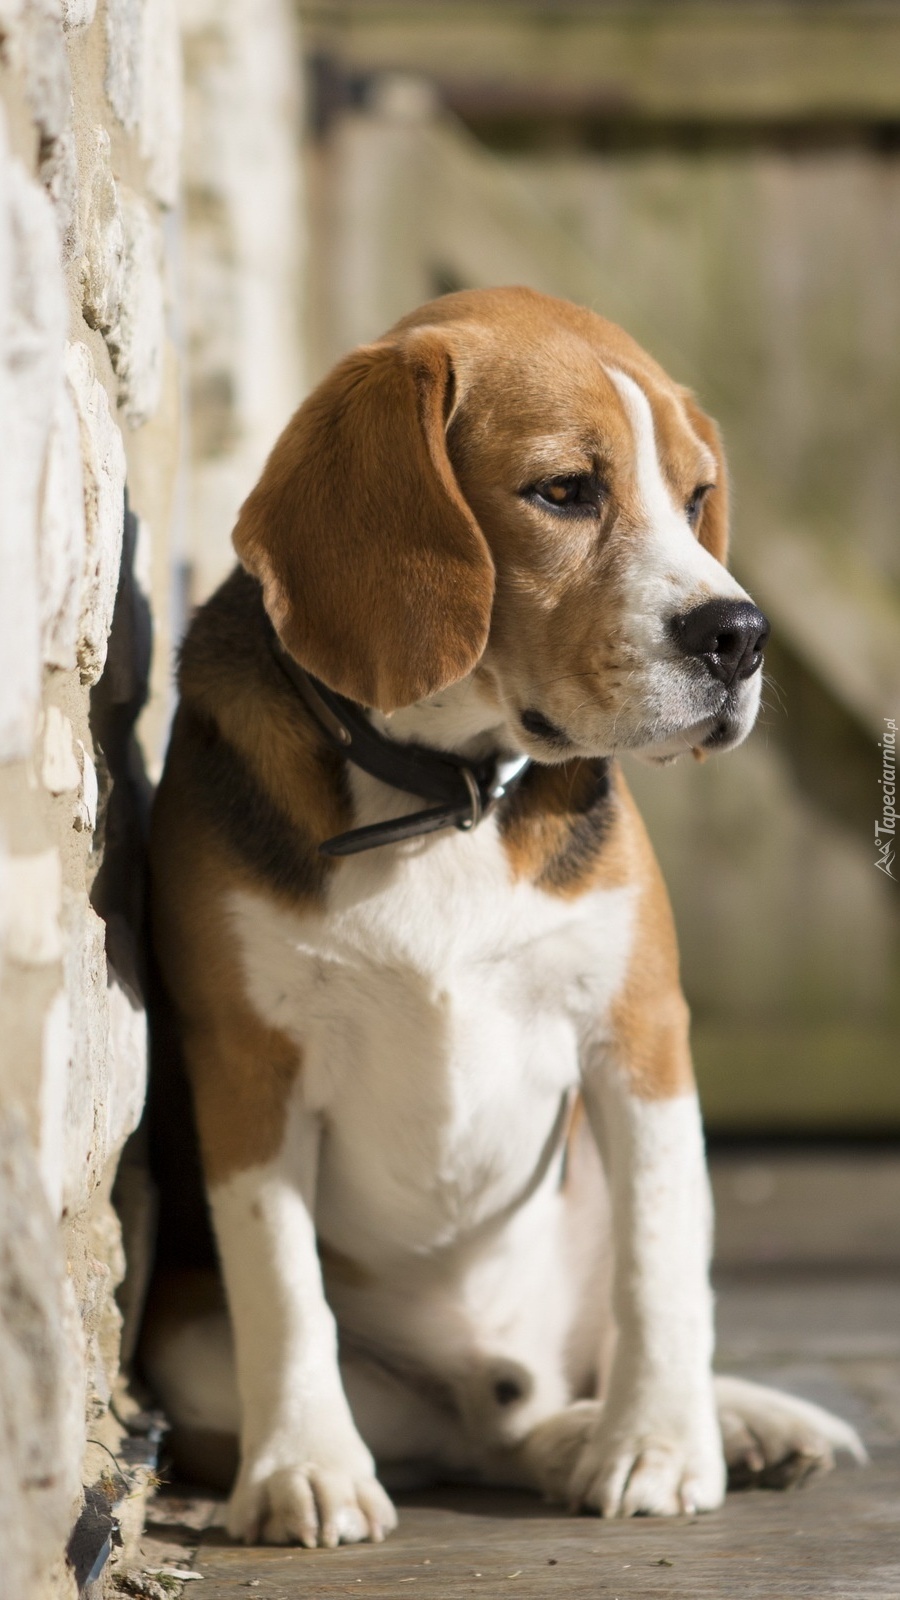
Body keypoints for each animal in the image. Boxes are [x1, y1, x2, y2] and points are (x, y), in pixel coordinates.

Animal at [143, 281, 858, 1542]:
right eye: (564, 491)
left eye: (696, 497)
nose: (741, 635)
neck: (448, 797)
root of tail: (501, 1372)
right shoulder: (246, 1067)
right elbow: (283, 1285)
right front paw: (302, 1468)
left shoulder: (641, 1035)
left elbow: (663, 1269)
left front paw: (661, 1446)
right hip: (188, 1343)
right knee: (478, 1435)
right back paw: (547, 1436)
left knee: (595, 1348)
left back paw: (713, 1424)